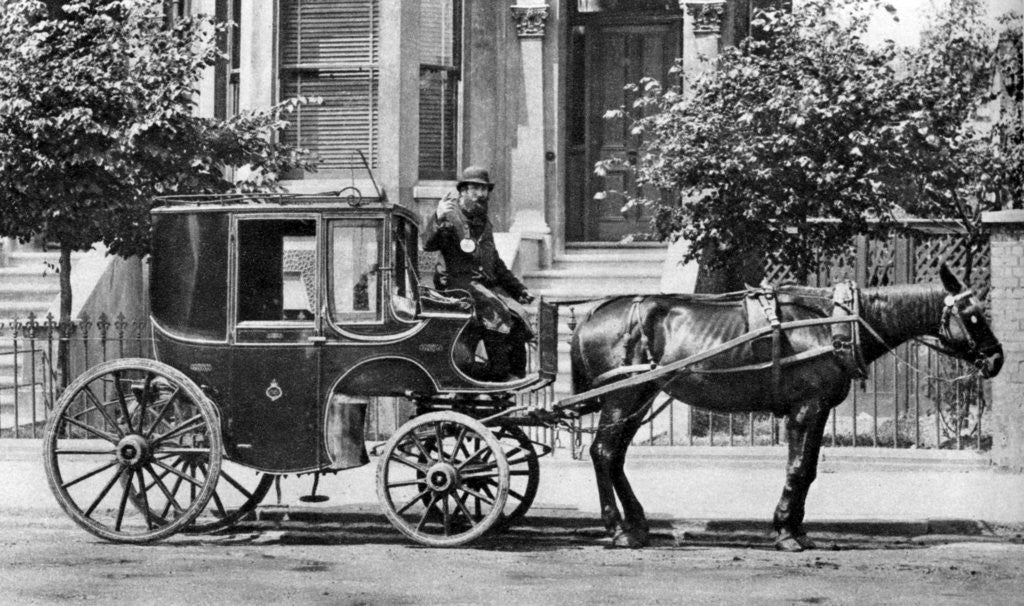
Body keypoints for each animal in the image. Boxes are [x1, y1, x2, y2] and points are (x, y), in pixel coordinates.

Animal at [573, 266, 1003, 548]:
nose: (996, 358)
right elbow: (797, 468)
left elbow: (808, 470)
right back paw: (617, 529)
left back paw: (637, 524)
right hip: (622, 397)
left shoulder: (820, 410)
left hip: (639, 396)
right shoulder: (806, 409)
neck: (834, 324)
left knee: (615, 456)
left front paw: (795, 527)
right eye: (973, 317)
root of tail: (592, 314)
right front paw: (784, 531)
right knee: (603, 452)